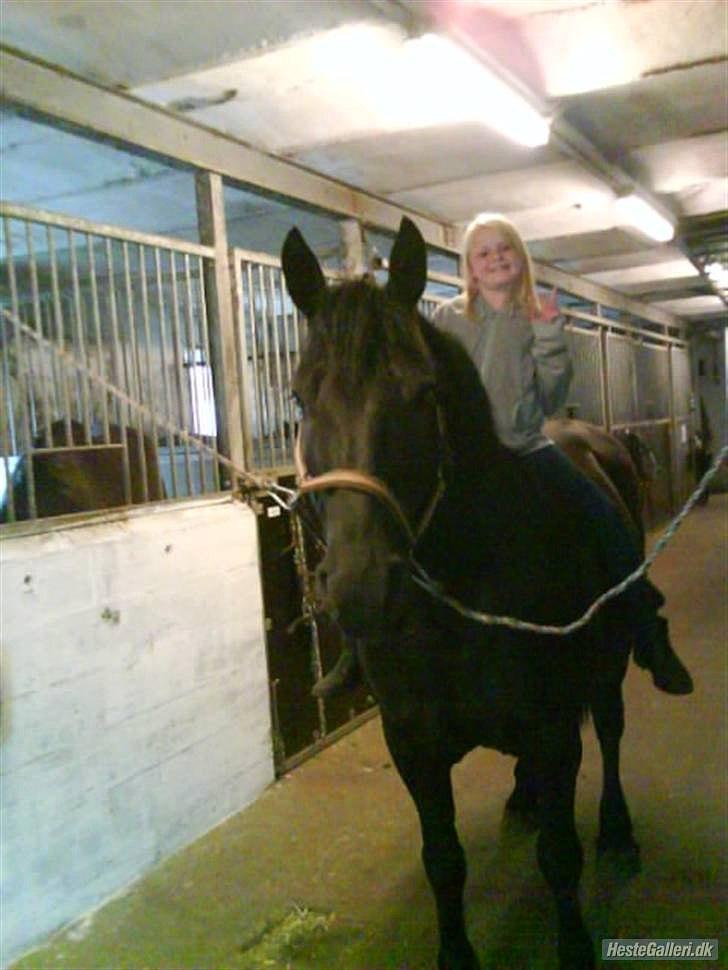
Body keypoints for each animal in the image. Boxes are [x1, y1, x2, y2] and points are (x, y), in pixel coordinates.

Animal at [282, 217, 640, 970]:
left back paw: (619, 832)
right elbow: (442, 861)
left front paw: (574, 945)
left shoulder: (554, 728)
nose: (361, 586)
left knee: (613, 732)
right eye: (301, 397)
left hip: (609, 665)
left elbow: (560, 856)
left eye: (423, 394)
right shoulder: (412, 743)